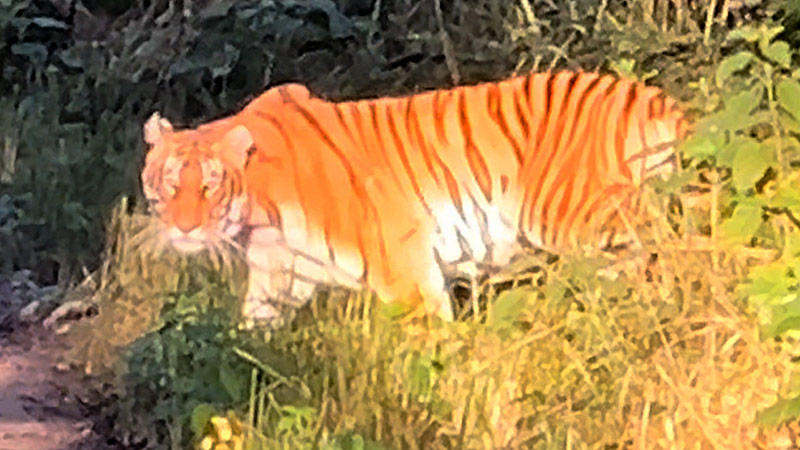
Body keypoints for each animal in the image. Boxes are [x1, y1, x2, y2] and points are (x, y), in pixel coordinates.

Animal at [139, 70, 688, 324]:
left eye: (209, 184)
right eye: (167, 184)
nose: (183, 228)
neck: (259, 213)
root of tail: (653, 99)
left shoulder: (404, 271)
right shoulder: (278, 279)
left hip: (590, 222)